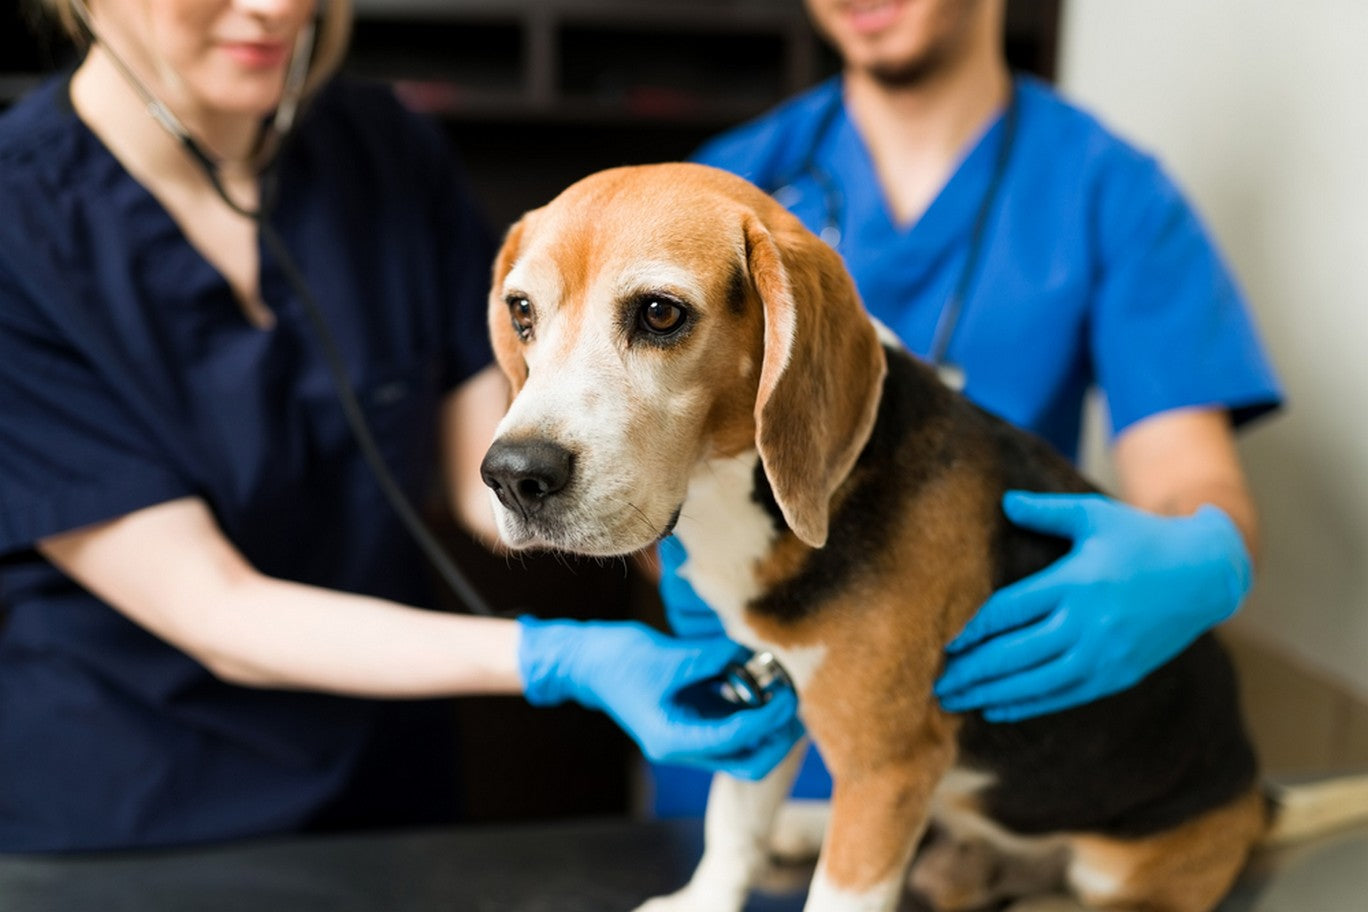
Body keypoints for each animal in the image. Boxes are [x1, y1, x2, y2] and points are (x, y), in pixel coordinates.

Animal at [476, 164, 1362, 912]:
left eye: (660, 313)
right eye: (521, 313)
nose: (513, 475)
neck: (754, 501)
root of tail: (1255, 798)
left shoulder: (888, 767)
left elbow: (840, 892)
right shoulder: (765, 692)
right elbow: (732, 822)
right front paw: (705, 900)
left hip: (1117, 862)